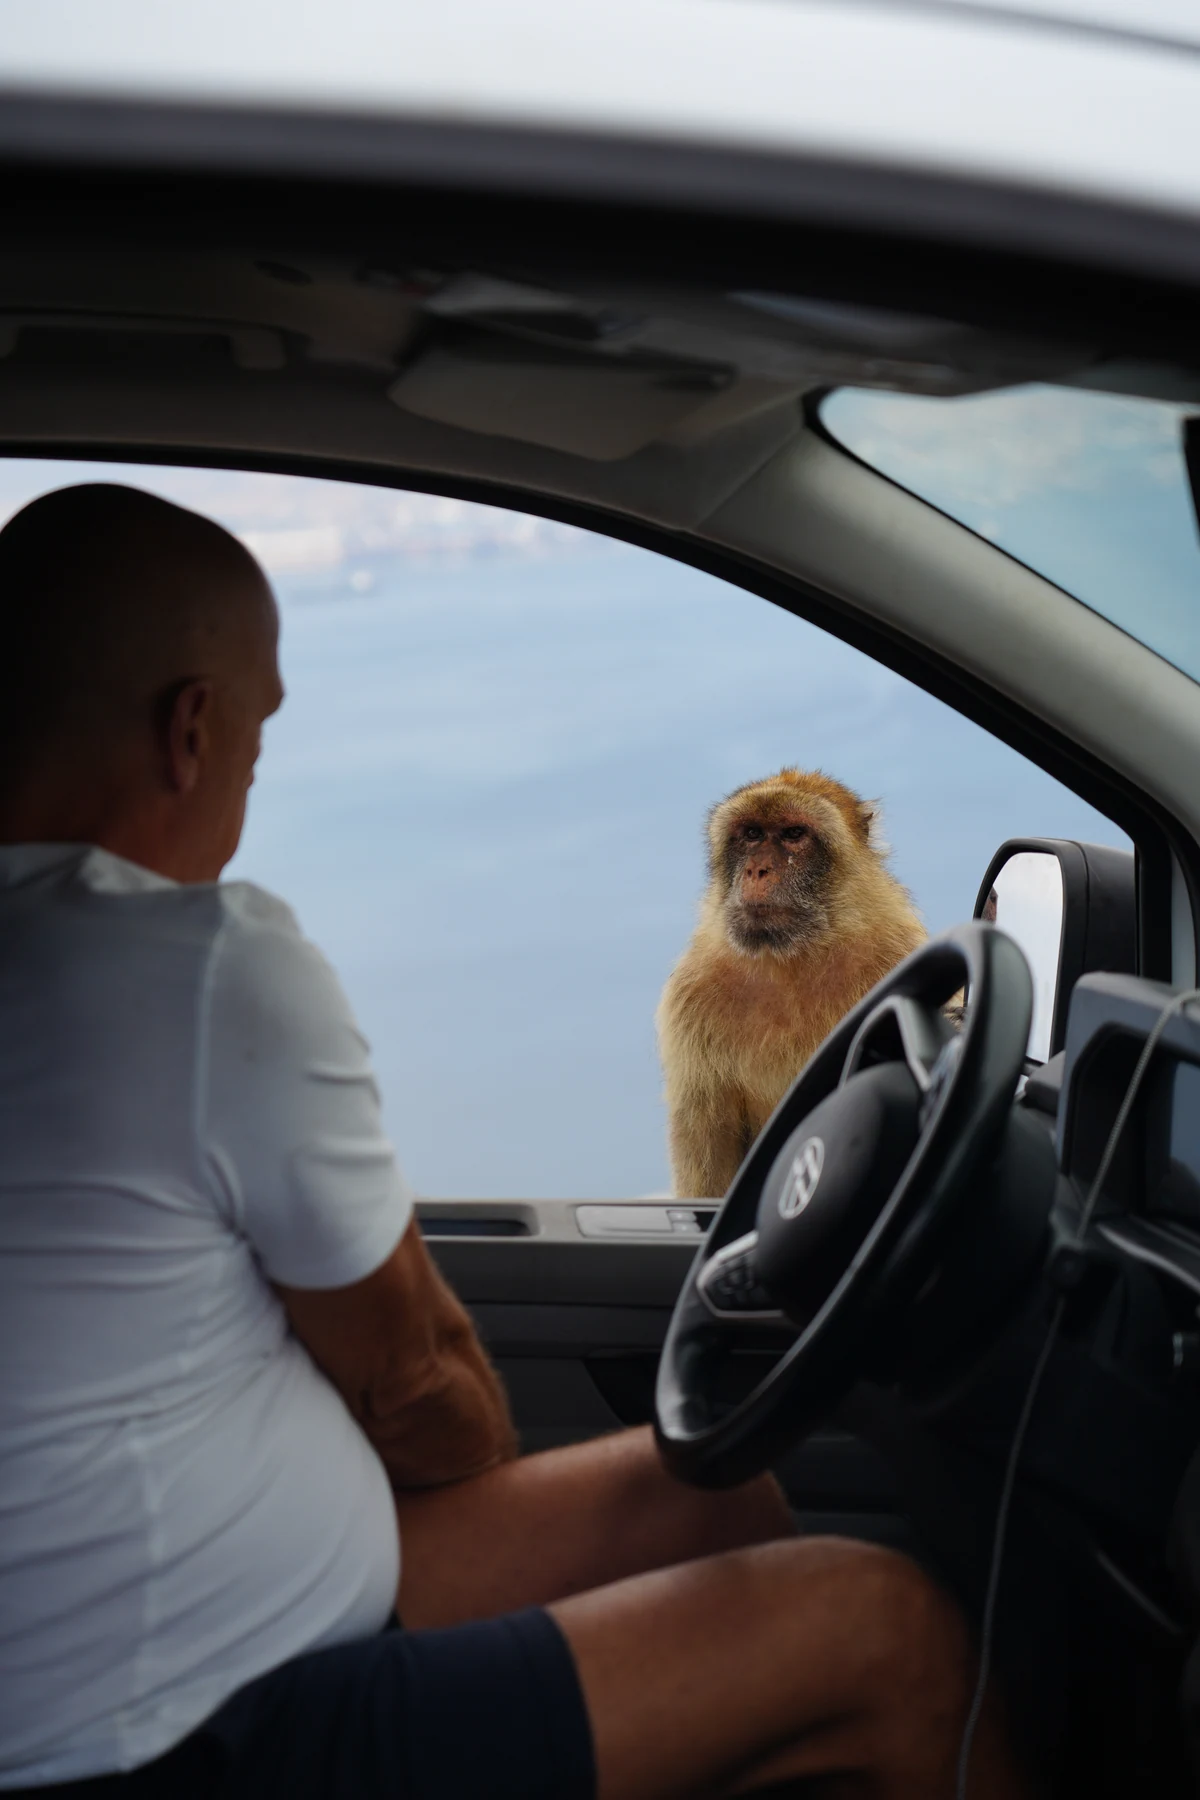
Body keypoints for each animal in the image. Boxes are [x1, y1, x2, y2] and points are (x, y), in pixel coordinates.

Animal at [656, 768, 926, 1198]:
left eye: (794, 833)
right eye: (751, 833)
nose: (757, 870)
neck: (791, 958)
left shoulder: (898, 953)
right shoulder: (691, 994)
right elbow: (709, 1143)